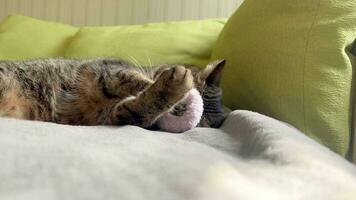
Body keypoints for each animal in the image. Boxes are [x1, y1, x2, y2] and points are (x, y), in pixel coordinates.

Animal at [0, 57, 227, 130]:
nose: (182, 111)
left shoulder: (115, 115)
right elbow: (139, 81)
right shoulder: (112, 71)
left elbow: (141, 109)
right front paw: (178, 92)